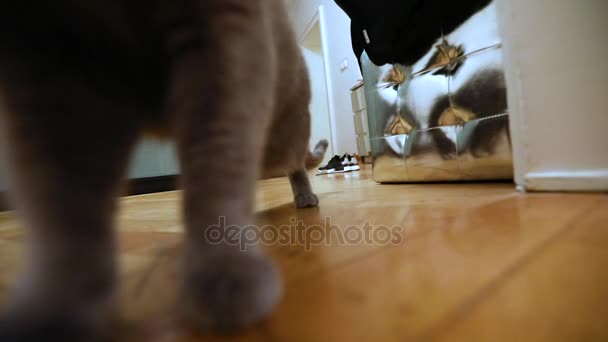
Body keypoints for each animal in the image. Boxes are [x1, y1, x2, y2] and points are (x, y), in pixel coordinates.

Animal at [0, 0, 328, 340]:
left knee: (294, 161)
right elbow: (63, 205)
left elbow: (218, 164)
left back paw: (304, 196)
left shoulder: (225, 37)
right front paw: (55, 311)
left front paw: (224, 267)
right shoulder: (47, 64)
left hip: (278, 133)